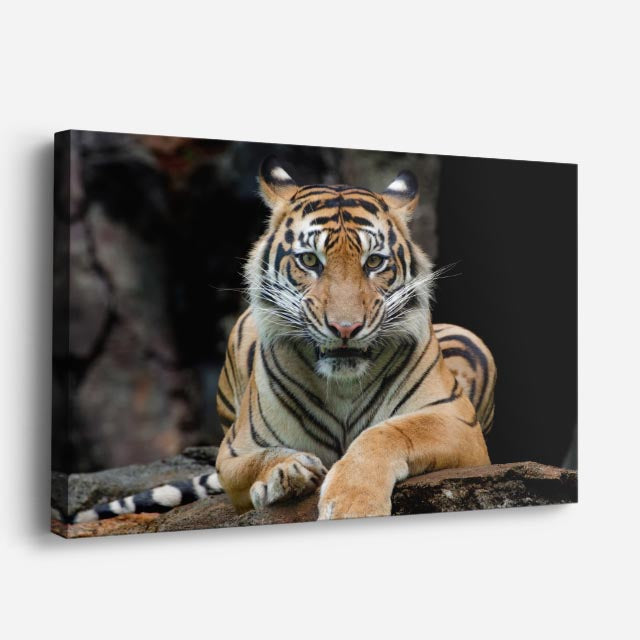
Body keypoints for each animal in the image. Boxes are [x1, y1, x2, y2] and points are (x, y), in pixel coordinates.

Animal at [69, 156, 495, 525]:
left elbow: (387, 433)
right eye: (310, 261)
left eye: (374, 263)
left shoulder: (457, 423)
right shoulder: (234, 451)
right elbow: (261, 459)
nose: (345, 328)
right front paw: (286, 472)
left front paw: (352, 505)